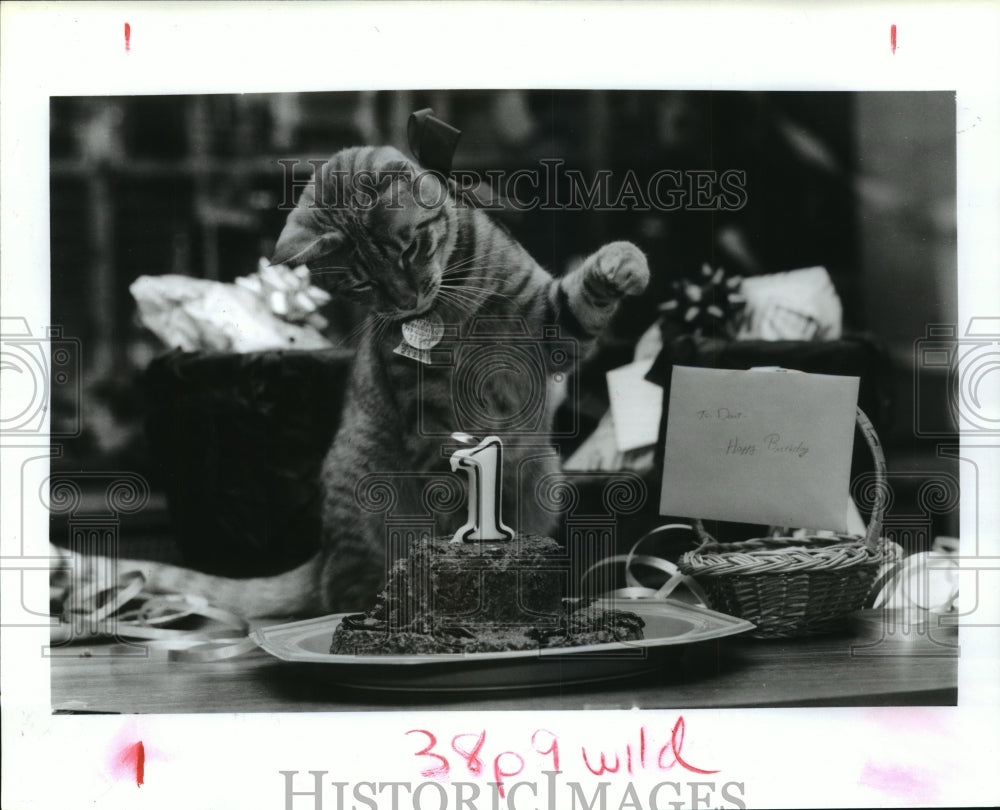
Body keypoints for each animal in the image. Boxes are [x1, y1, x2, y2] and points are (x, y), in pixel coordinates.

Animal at [52, 145, 648, 616]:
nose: (407, 301)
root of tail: (321, 556)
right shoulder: (432, 421)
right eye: (362, 282)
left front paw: (623, 261)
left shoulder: (549, 334)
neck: (459, 303)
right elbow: (458, 503)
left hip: (543, 480)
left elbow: (581, 297)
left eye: (410, 249)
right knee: (349, 596)